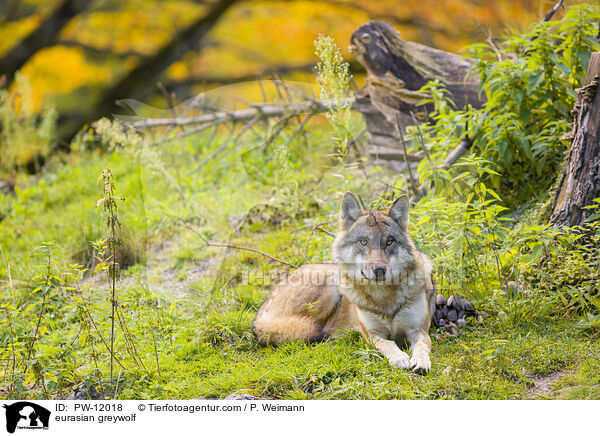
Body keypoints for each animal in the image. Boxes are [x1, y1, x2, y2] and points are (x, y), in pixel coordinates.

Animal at [251, 192, 434, 372]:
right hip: (330, 287)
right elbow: (388, 343)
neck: (383, 298)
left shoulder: (419, 331)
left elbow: (421, 346)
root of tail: (258, 317)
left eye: (389, 242)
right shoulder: (372, 334)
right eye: (363, 242)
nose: (379, 270)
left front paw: (421, 361)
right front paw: (400, 358)